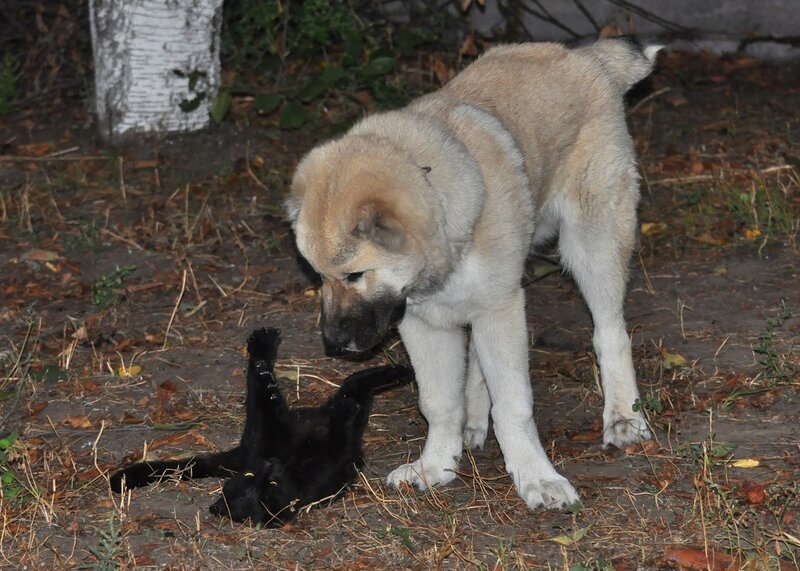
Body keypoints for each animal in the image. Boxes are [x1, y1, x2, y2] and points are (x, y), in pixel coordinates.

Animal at [109, 328, 410, 528]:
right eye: (269, 485)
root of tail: (236, 456)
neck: (290, 468)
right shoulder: (333, 461)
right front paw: (345, 411)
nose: (269, 464)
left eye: (259, 477)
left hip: (271, 428)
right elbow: (341, 432)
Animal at [288, 38, 664, 510]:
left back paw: (622, 418)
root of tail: (585, 57)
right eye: (317, 276)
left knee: (610, 333)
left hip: (591, 247)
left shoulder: (499, 309)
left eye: (354, 275)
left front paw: (536, 477)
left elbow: (514, 406)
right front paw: (436, 465)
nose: (334, 343)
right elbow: (439, 402)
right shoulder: (426, 323)